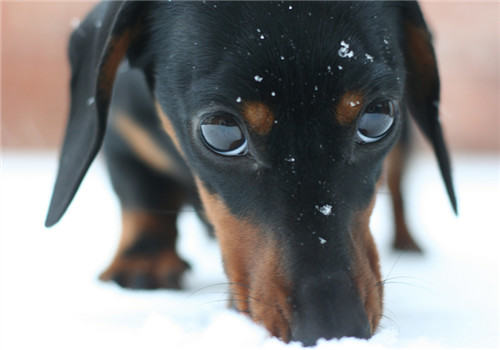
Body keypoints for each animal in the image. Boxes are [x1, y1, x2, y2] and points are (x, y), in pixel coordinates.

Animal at [46, 1, 458, 346]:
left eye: (378, 117)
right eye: (220, 131)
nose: (334, 328)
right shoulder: (123, 132)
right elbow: (140, 196)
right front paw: (143, 259)